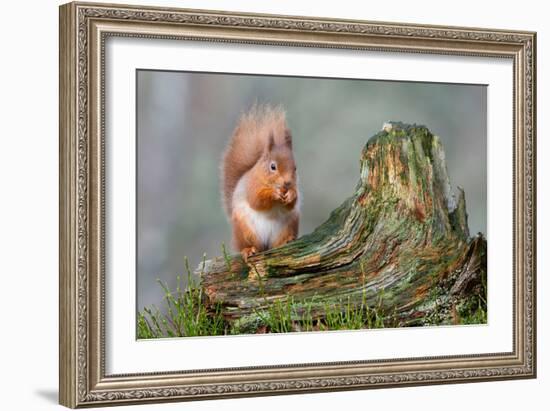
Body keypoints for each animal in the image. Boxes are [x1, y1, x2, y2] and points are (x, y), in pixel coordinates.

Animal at [221, 104, 302, 262]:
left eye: (295, 168)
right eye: (273, 166)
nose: (287, 183)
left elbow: (291, 204)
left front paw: (291, 194)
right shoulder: (251, 186)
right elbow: (257, 200)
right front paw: (274, 194)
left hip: (289, 224)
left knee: (276, 244)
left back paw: (286, 241)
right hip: (245, 230)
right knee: (251, 245)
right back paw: (248, 250)